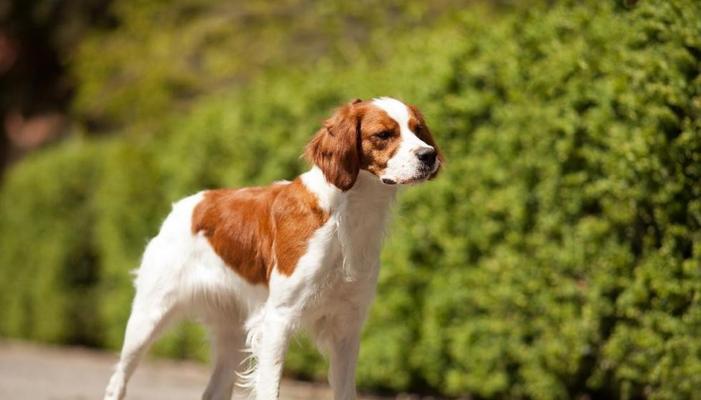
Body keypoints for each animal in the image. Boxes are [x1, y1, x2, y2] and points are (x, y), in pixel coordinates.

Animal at [102, 97, 442, 400]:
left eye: (419, 130)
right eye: (383, 134)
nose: (429, 155)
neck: (346, 214)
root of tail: (186, 204)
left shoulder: (347, 327)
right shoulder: (278, 319)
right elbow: (269, 387)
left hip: (230, 334)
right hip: (148, 317)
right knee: (117, 381)